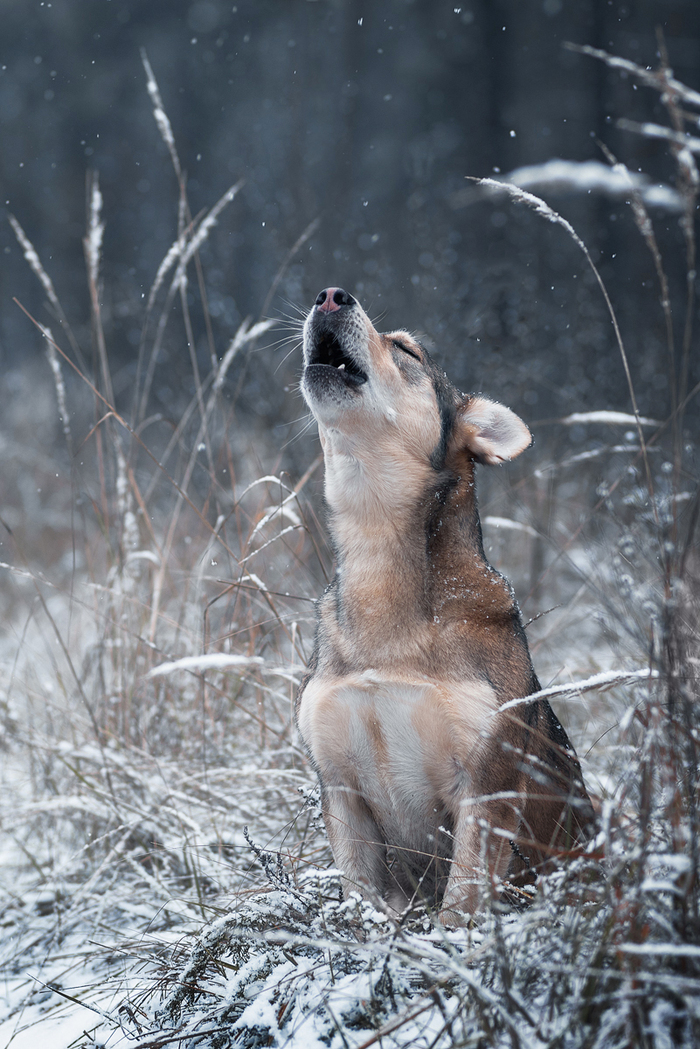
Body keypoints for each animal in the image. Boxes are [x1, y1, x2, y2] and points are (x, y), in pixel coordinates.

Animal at [295, 289, 596, 927]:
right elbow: (360, 903)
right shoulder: (341, 791)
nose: (331, 296)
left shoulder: (484, 794)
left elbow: (459, 909)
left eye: (406, 350)